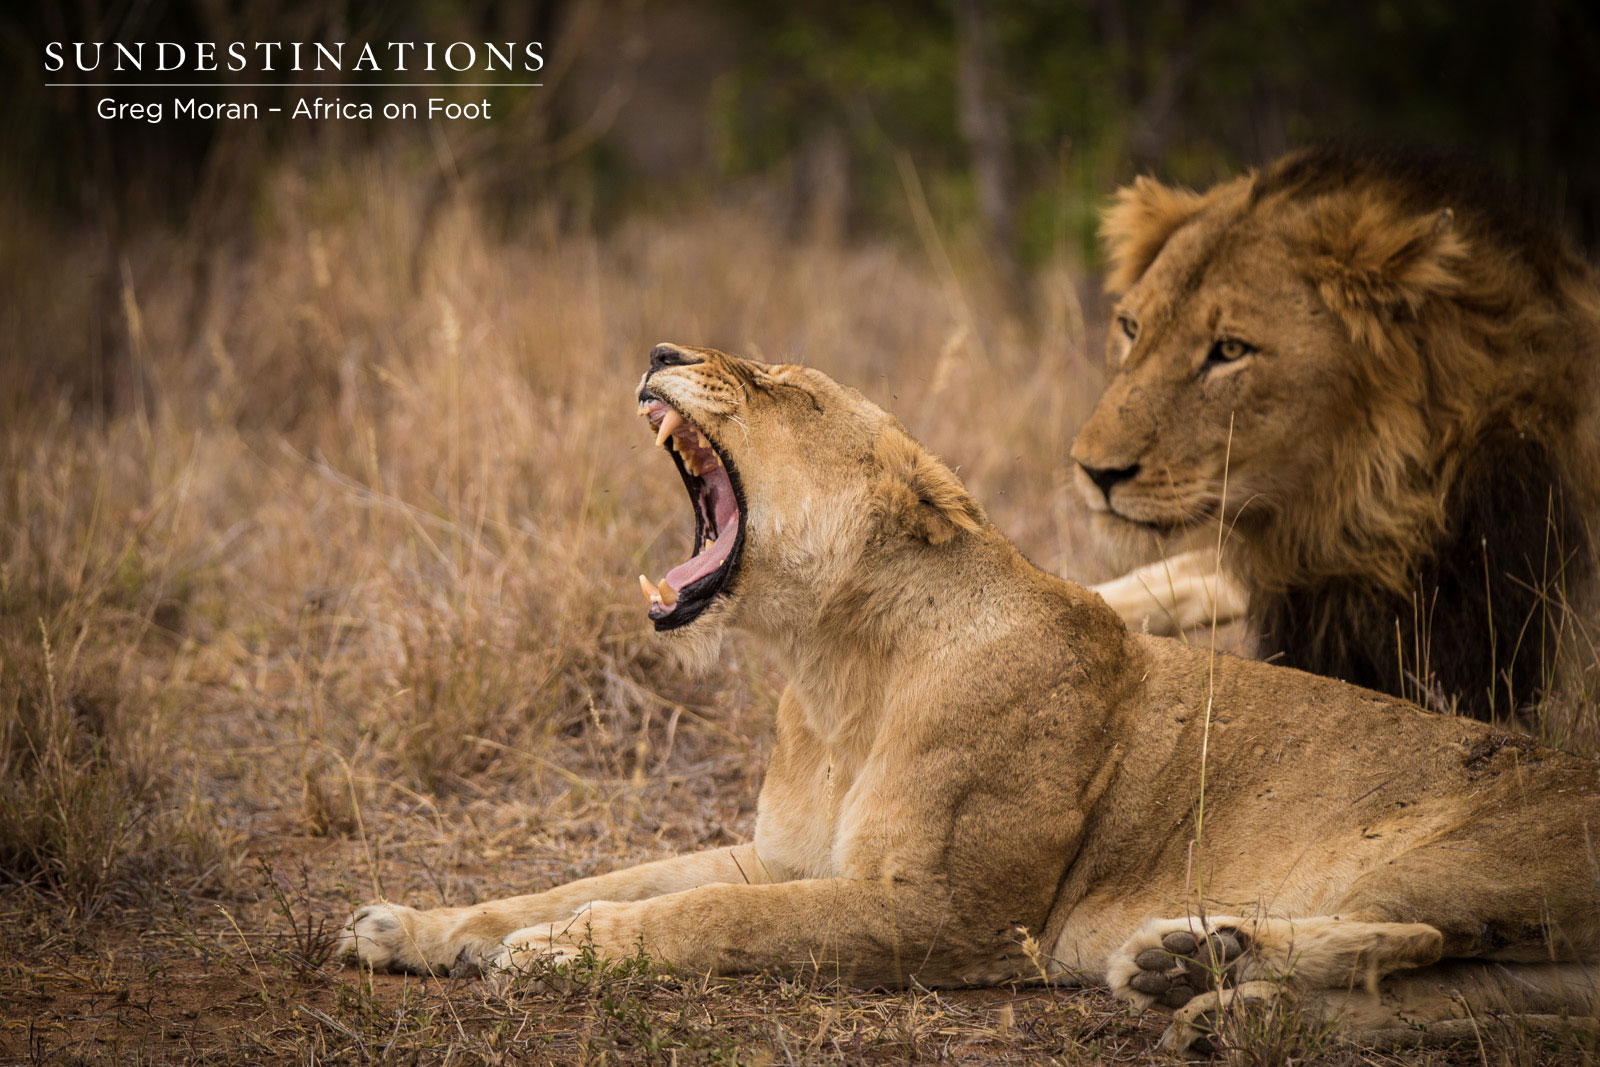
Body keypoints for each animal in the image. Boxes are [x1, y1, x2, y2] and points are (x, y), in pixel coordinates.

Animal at [341, 343, 1600, 1055]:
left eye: (774, 383)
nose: (658, 342)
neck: (835, 666)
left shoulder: (947, 909)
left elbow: (703, 918)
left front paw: (565, 947)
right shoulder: (787, 854)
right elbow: (602, 876)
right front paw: (418, 926)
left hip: (1439, 845)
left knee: (1423, 934)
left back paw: (1195, 961)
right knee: (1478, 985)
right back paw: (1219, 996)